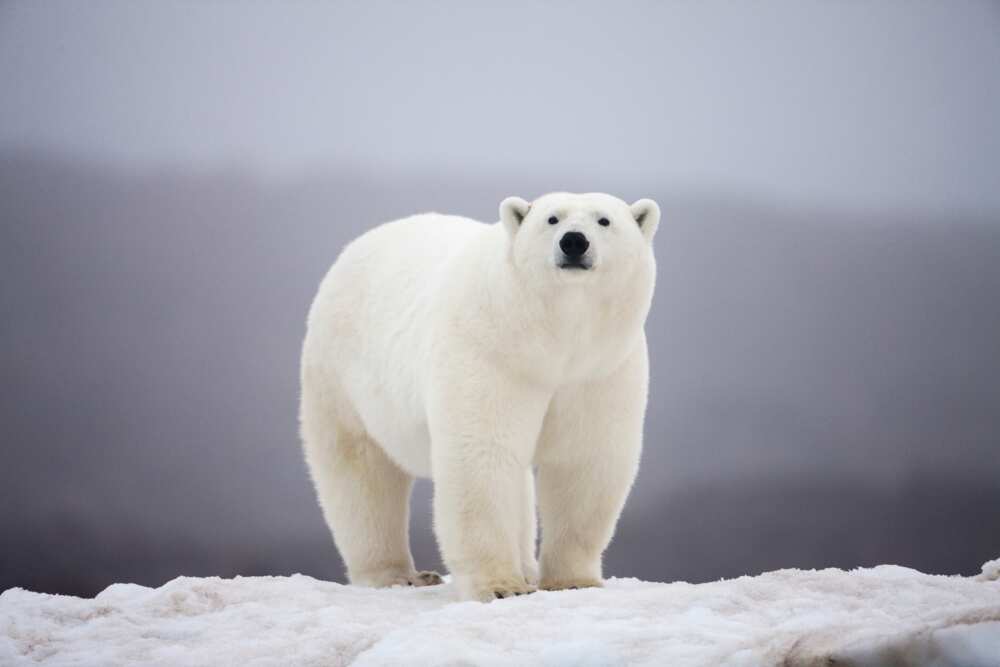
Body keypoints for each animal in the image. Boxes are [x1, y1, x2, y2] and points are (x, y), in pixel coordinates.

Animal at [300, 192, 660, 600]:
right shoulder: (490, 350)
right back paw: (396, 574)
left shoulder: (599, 369)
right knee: (360, 470)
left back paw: (526, 568)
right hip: (342, 374)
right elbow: (483, 454)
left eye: (604, 220)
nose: (573, 242)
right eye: (552, 219)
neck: (552, 340)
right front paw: (501, 586)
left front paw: (573, 580)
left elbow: (583, 460)